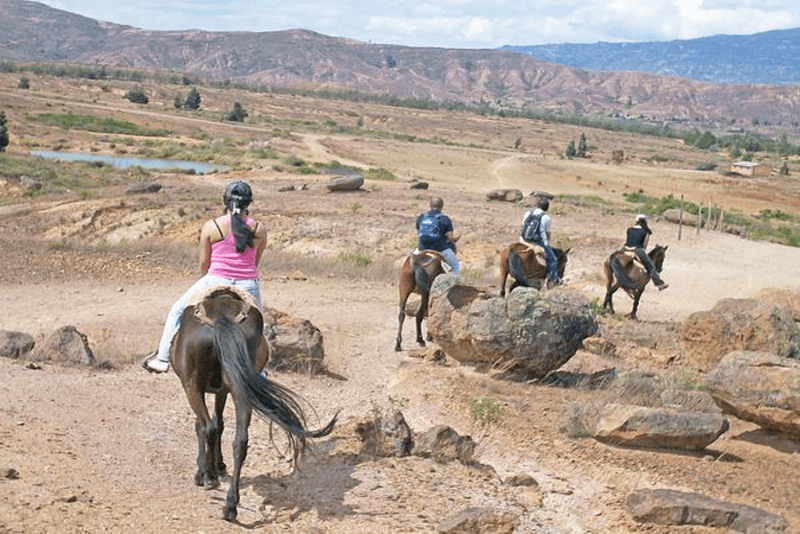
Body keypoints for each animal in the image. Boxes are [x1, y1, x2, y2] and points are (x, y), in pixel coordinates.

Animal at [170, 287, 337, 521]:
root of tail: (221, 317)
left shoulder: (198, 388)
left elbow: (204, 426)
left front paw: (205, 471)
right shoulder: (223, 391)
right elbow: (220, 423)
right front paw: (220, 465)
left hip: (193, 386)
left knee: (207, 427)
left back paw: (209, 477)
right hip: (240, 391)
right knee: (240, 440)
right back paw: (230, 505)